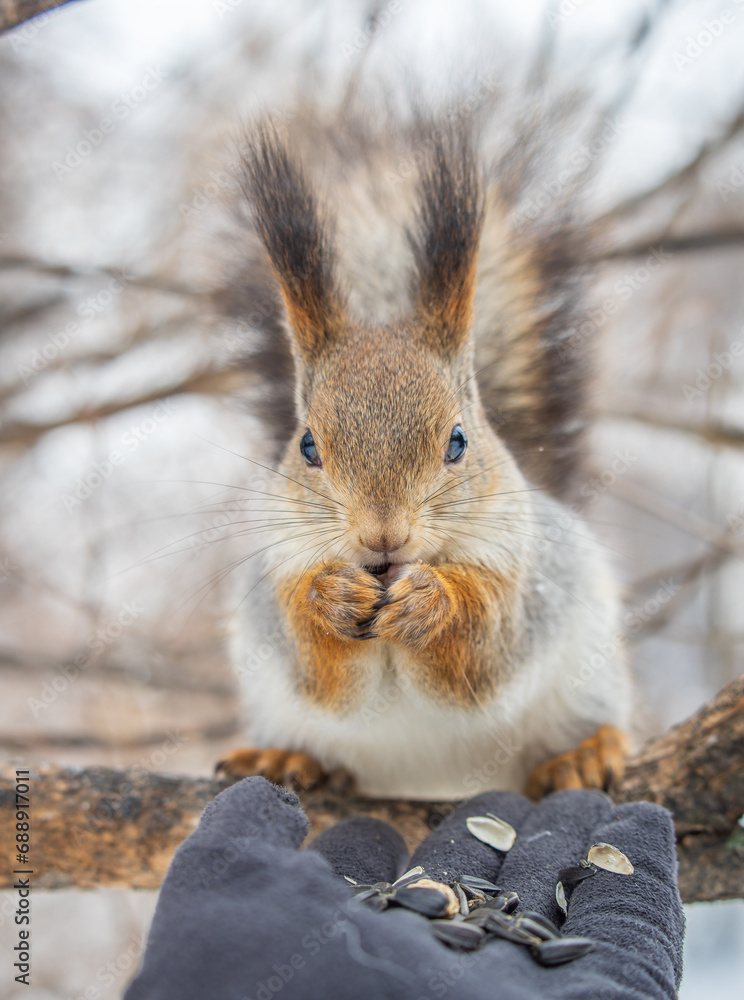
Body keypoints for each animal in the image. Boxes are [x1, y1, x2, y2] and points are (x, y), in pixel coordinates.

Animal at [215, 103, 632, 800]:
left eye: (458, 441)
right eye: (307, 445)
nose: (382, 536)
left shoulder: (519, 575)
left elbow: (484, 645)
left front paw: (433, 602)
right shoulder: (279, 572)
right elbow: (319, 668)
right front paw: (330, 597)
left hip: (586, 669)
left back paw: (584, 753)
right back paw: (287, 757)